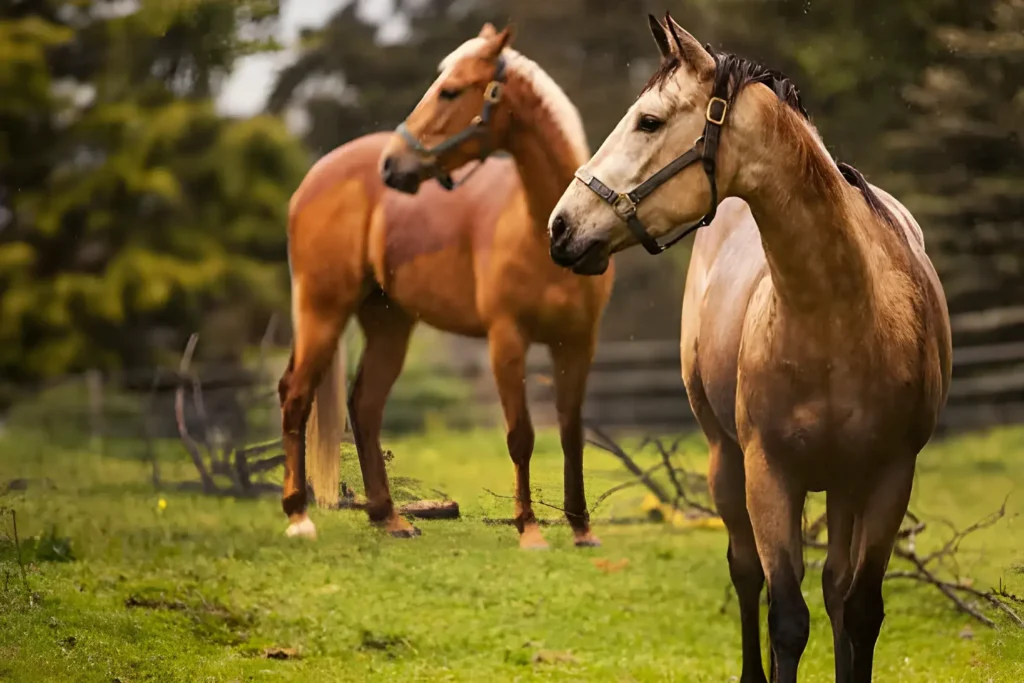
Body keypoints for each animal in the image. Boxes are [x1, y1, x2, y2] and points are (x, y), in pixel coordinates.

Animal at [276, 22, 610, 548]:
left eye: (450, 91)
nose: (392, 165)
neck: (546, 228)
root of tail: (315, 177)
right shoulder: (506, 340)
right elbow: (521, 435)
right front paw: (530, 531)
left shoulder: (577, 343)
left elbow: (571, 434)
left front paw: (581, 529)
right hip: (322, 309)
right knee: (295, 395)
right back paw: (298, 517)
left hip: (389, 323)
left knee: (364, 405)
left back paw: (389, 518)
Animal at [544, 10, 950, 683]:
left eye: (648, 120)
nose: (560, 227)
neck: (843, 319)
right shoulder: (770, 474)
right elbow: (785, 616)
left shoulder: (892, 476)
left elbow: (859, 611)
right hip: (725, 459)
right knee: (747, 572)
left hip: (845, 485)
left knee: (836, 588)